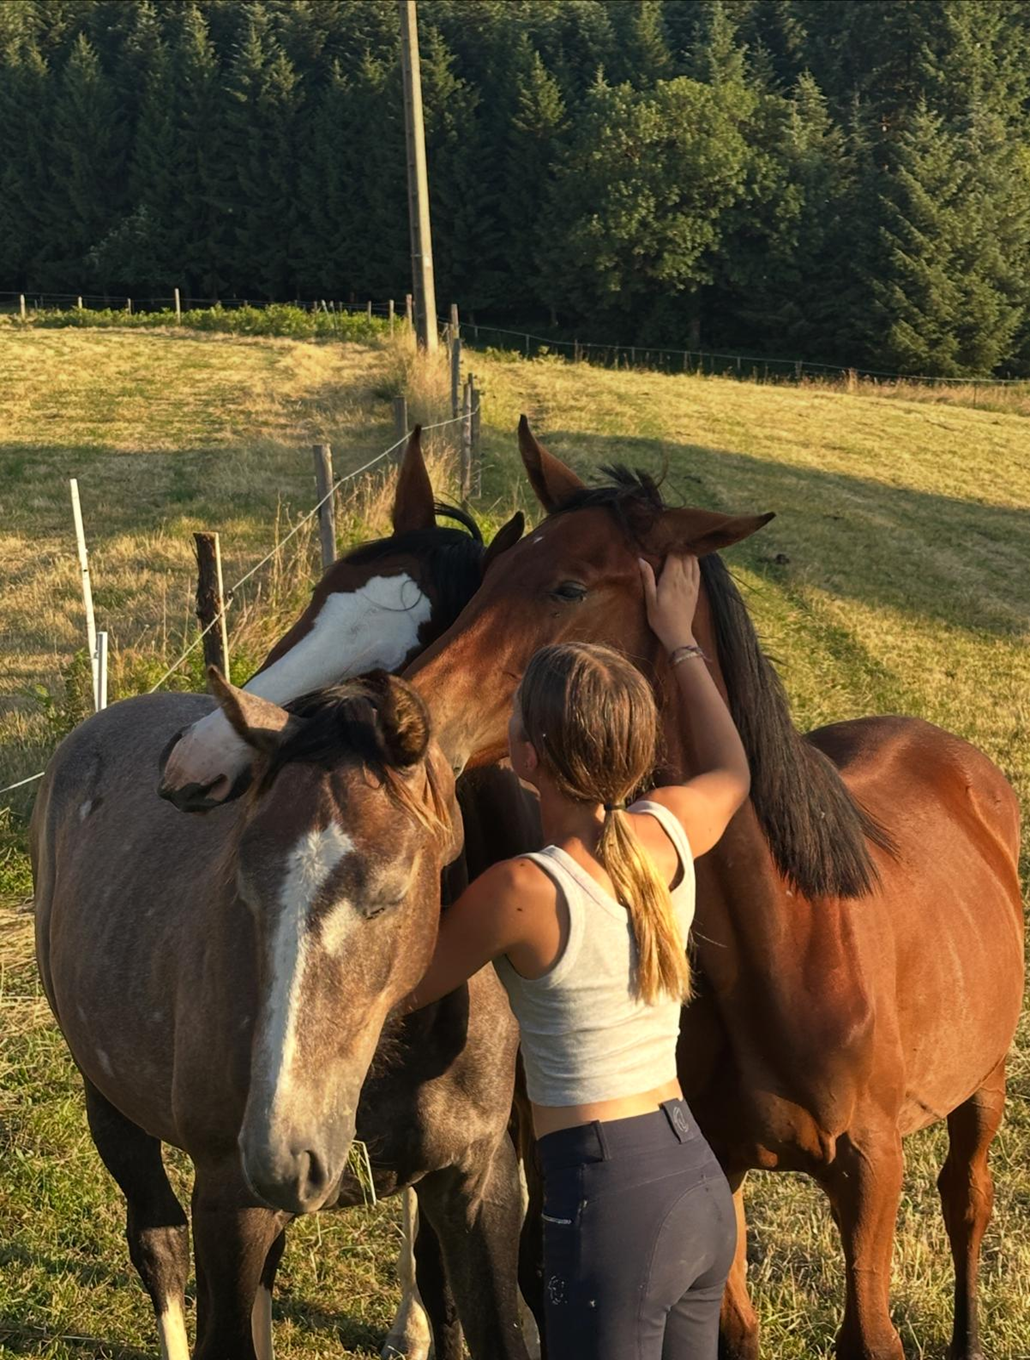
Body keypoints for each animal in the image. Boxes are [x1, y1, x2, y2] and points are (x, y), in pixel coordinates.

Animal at [33, 433, 537, 1361]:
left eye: (426, 636)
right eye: (318, 598)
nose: (192, 757)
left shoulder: (477, 1182)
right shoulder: (231, 1198)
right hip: (110, 1101)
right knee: (157, 1242)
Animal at [372, 419, 1019, 1361]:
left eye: (568, 585)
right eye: (491, 574)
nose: (408, 715)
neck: (790, 943)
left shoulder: (869, 1172)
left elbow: (869, 1331)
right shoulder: (721, 1160)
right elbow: (733, 1327)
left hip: (983, 1083)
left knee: (966, 1199)